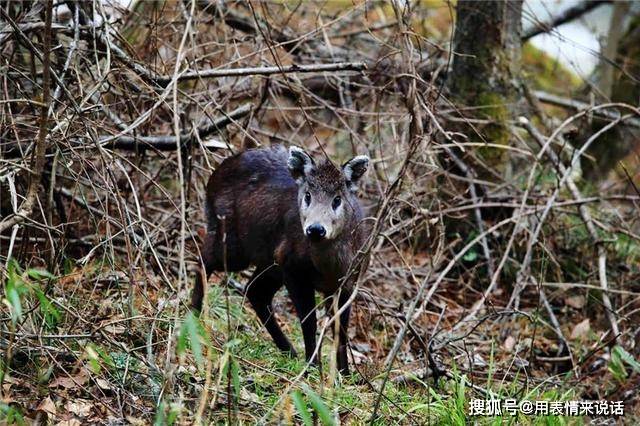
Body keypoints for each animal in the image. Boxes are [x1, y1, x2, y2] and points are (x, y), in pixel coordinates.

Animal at [191, 145, 370, 374]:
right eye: (308, 196)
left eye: (337, 199)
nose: (315, 229)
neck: (328, 268)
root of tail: (213, 177)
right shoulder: (292, 266)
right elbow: (308, 322)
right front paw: (312, 367)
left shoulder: (348, 281)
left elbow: (341, 330)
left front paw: (344, 373)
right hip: (234, 244)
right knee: (204, 258)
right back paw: (193, 315)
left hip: (268, 261)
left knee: (254, 289)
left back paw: (289, 351)